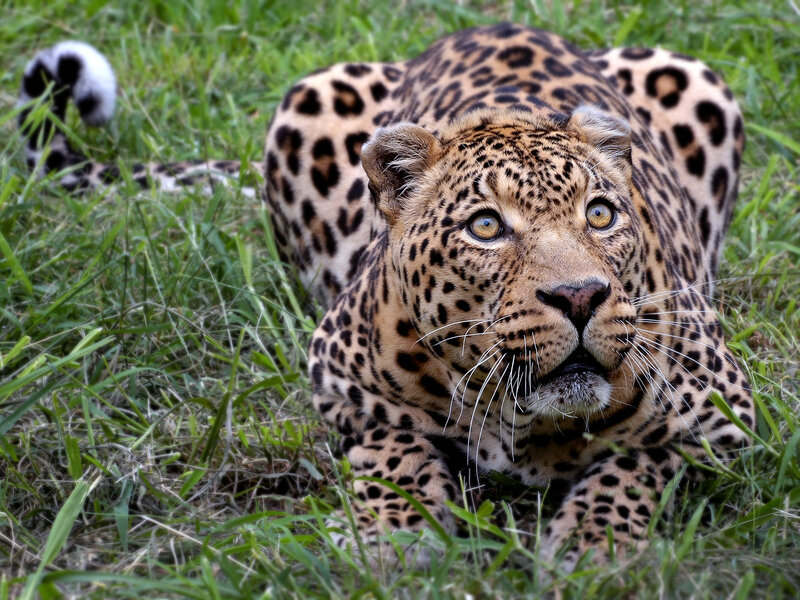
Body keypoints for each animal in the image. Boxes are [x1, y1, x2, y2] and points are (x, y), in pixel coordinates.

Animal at [18, 23, 754, 570]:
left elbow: (637, 462)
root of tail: (491, 23)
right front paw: (392, 535)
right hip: (309, 98)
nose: (579, 296)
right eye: (486, 227)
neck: (521, 422)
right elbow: (393, 444)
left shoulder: (726, 415)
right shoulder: (337, 376)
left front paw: (592, 542)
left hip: (694, 77)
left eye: (600, 215)